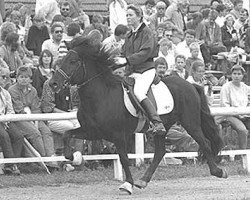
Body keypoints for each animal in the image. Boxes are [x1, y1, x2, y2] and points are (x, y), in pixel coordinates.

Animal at [48, 35, 227, 194]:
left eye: (73, 61)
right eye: (61, 60)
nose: (53, 83)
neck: (102, 95)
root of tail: (190, 85)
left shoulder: (118, 135)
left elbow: (124, 159)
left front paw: (128, 184)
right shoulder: (94, 131)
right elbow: (66, 134)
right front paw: (76, 157)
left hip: (190, 122)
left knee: (204, 142)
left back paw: (218, 171)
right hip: (163, 128)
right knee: (160, 152)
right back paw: (143, 181)